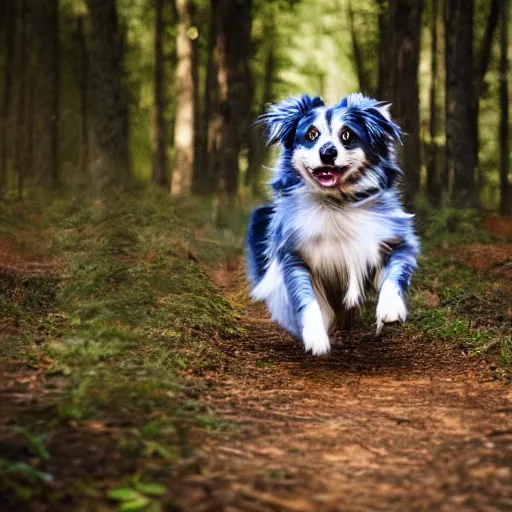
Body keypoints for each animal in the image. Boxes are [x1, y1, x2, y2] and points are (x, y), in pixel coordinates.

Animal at [246, 93, 418, 356]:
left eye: (347, 135)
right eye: (311, 134)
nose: (328, 152)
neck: (335, 203)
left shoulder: (394, 239)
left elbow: (395, 274)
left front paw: (390, 310)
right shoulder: (294, 254)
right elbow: (306, 298)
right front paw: (315, 337)